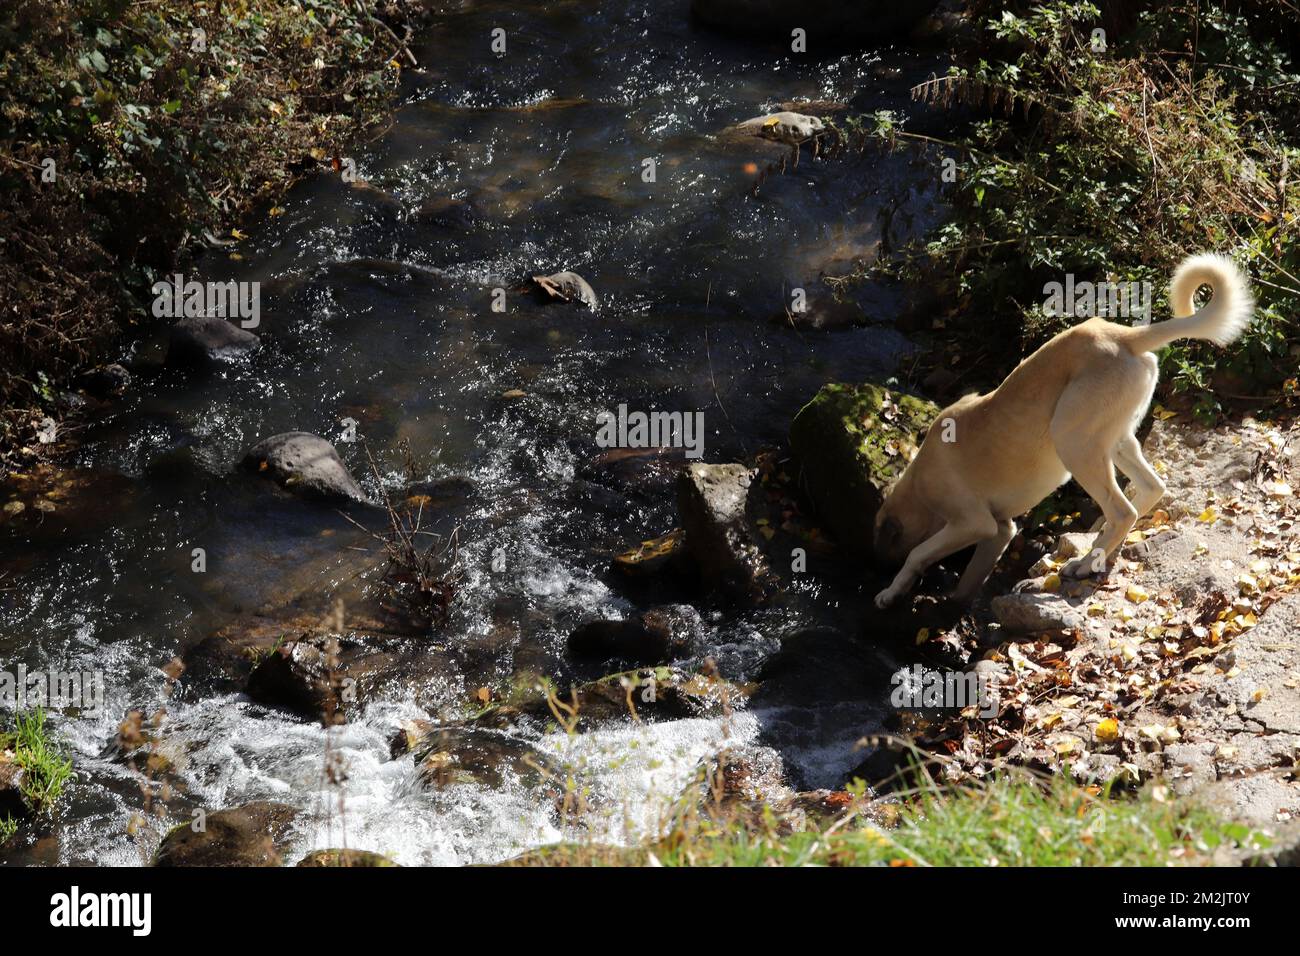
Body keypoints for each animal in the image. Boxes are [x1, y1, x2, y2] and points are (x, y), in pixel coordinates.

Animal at [873, 254, 1248, 608]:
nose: (878, 565)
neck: (917, 478)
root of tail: (1122, 336)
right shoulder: (1000, 530)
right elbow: (970, 578)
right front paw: (953, 605)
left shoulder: (973, 522)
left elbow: (917, 553)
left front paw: (890, 592)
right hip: (1114, 441)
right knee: (1150, 489)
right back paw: (1100, 545)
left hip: (1073, 442)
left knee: (1122, 510)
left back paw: (1085, 563)